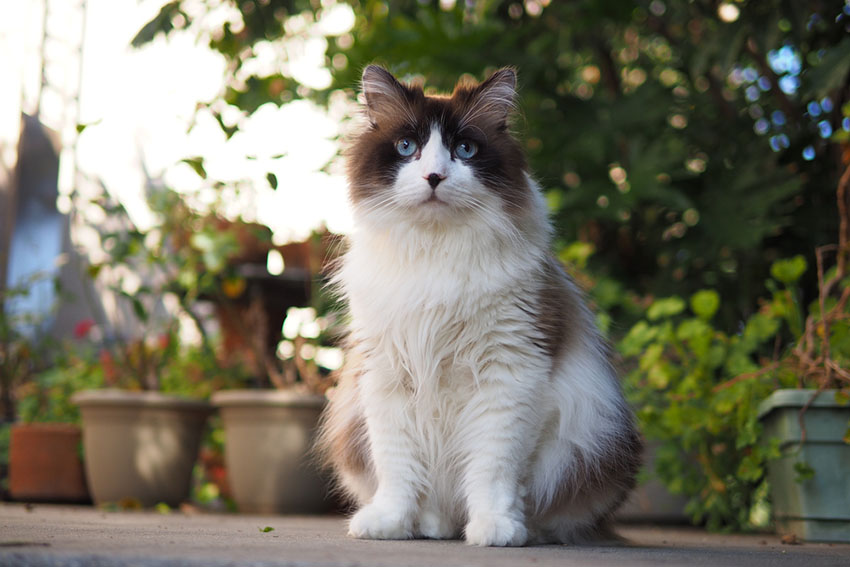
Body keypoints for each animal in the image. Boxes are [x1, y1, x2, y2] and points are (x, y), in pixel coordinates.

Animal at [314, 64, 640, 548]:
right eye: (406, 147)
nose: (434, 177)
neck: (434, 254)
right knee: (435, 506)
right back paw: (431, 526)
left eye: (464, 150)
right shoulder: (389, 374)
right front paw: (389, 524)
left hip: (591, 442)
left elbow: (493, 471)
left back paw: (518, 531)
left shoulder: (508, 373)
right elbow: (398, 469)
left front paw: (496, 530)